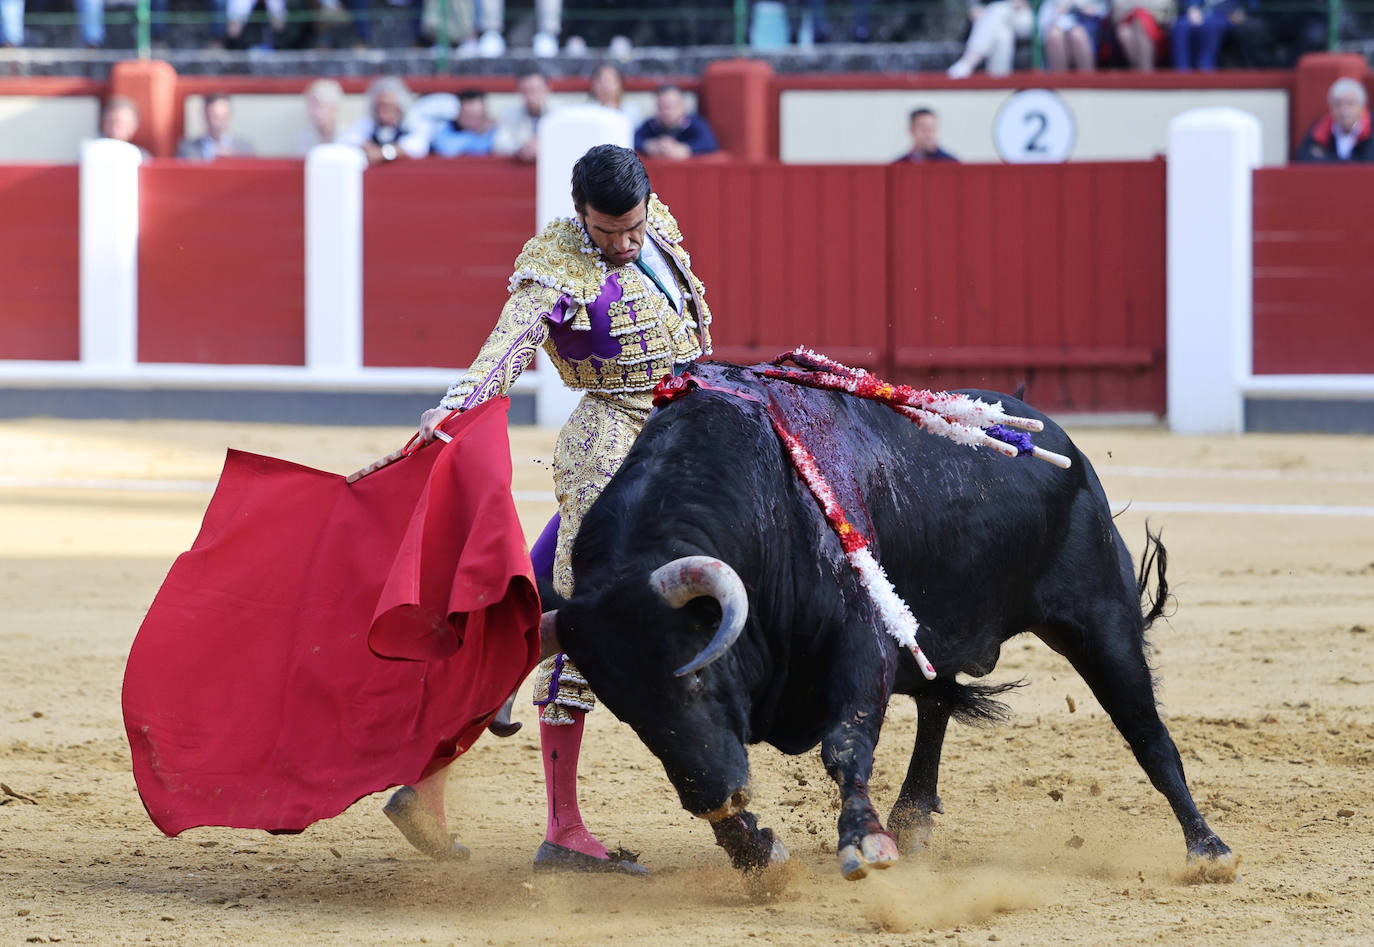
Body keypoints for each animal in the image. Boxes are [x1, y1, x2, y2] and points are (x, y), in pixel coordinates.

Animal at [535, 360, 1236, 879]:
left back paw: (1208, 848)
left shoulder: (861, 638)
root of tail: (1049, 435)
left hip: (1101, 620)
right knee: (938, 702)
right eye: (627, 711)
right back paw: (912, 815)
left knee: (1144, 727)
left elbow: (846, 739)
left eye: (699, 678)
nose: (716, 795)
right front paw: (755, 850)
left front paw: (863, 841)